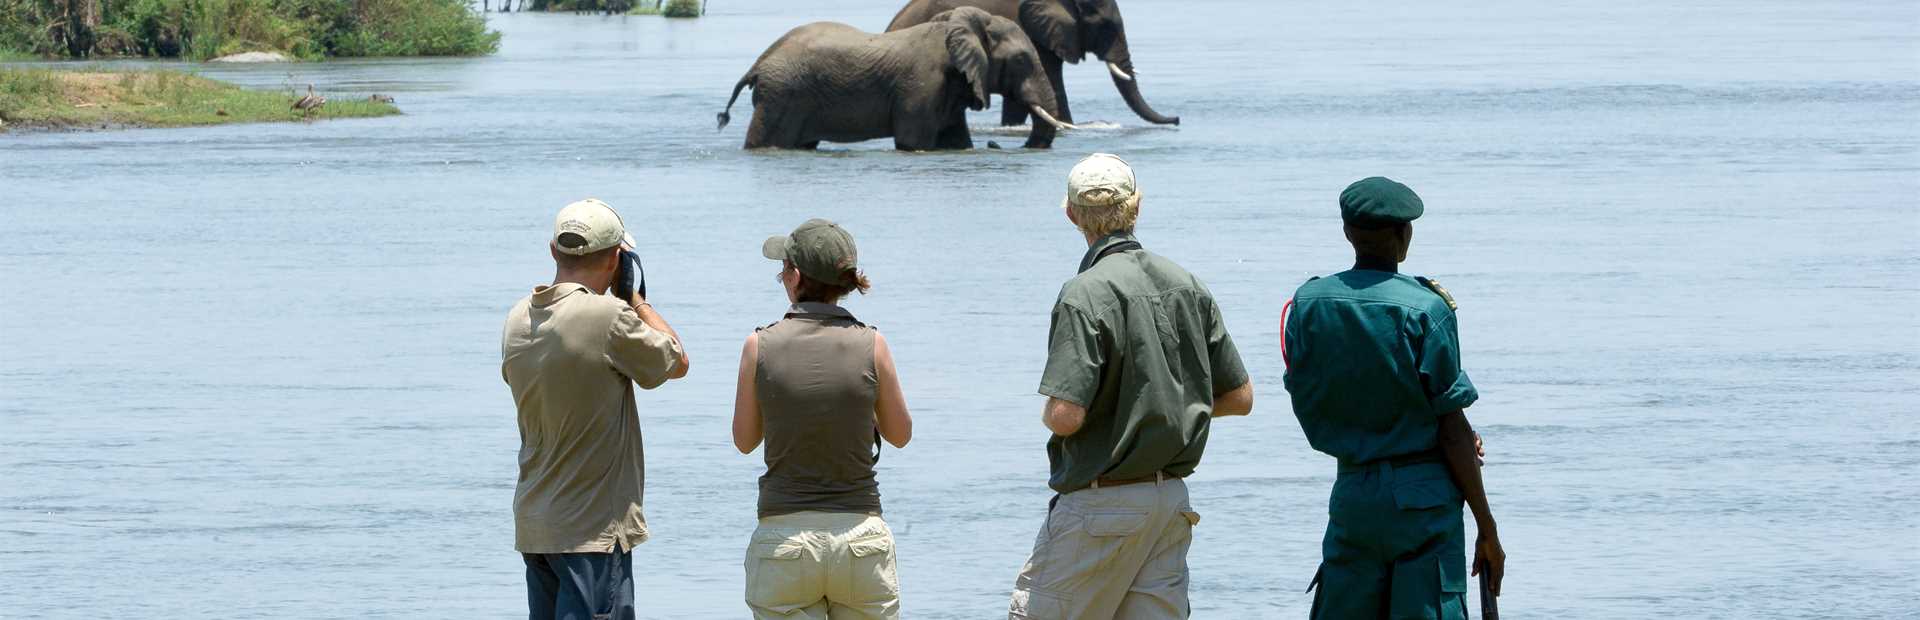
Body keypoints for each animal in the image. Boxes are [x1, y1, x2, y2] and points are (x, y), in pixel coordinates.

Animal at [721, 6, 1082, 151]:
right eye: (1021, 60)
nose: (995, 144)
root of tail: (759, 63)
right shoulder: (922, 86)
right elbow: (913, 142)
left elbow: (957, 142)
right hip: (782, 97)